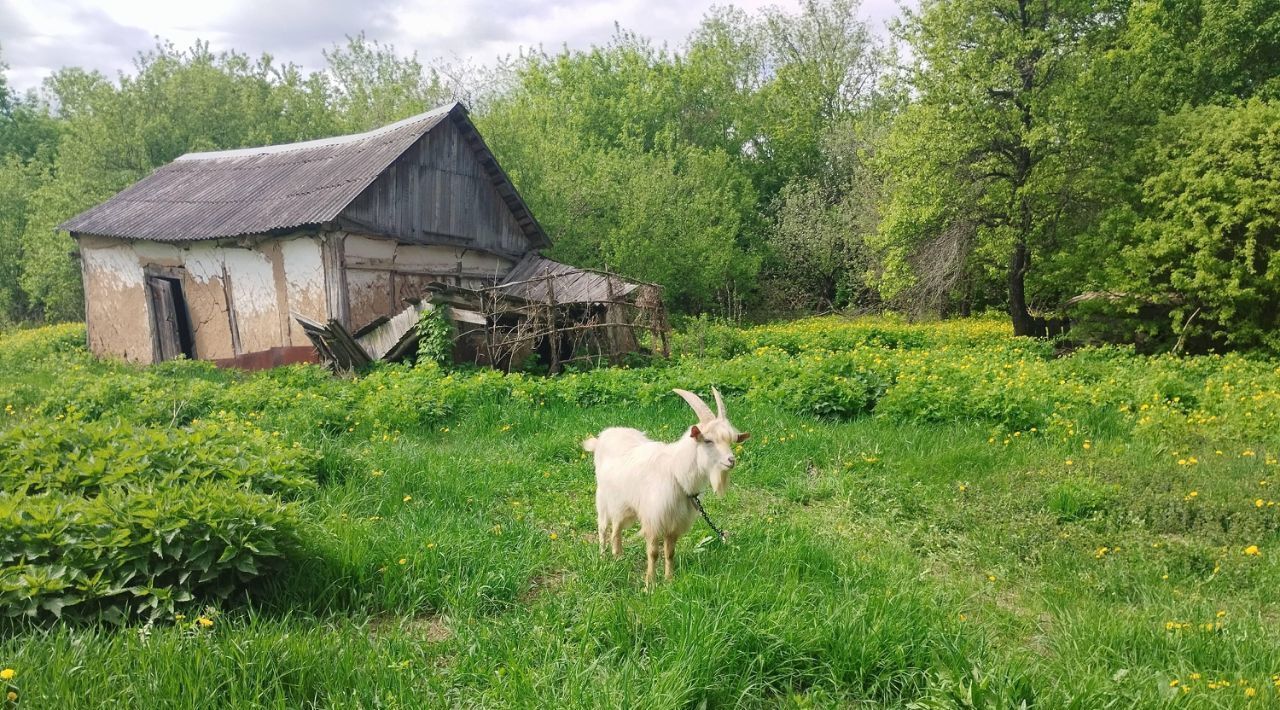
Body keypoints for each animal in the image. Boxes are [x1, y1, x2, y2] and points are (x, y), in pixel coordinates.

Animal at [583, 388, 747, 588]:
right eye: (708, 440)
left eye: (731, 441)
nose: (731, 461)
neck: (676, 472)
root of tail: (603, 437)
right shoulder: (654, 520)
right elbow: (653, 553)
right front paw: (650, 585)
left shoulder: (674, 523)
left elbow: (670, 553)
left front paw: (669, 580)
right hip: (603, 498)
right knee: (603, 527)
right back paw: (602, 557)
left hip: (624, 504)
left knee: (617, 527)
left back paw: (618, 556)